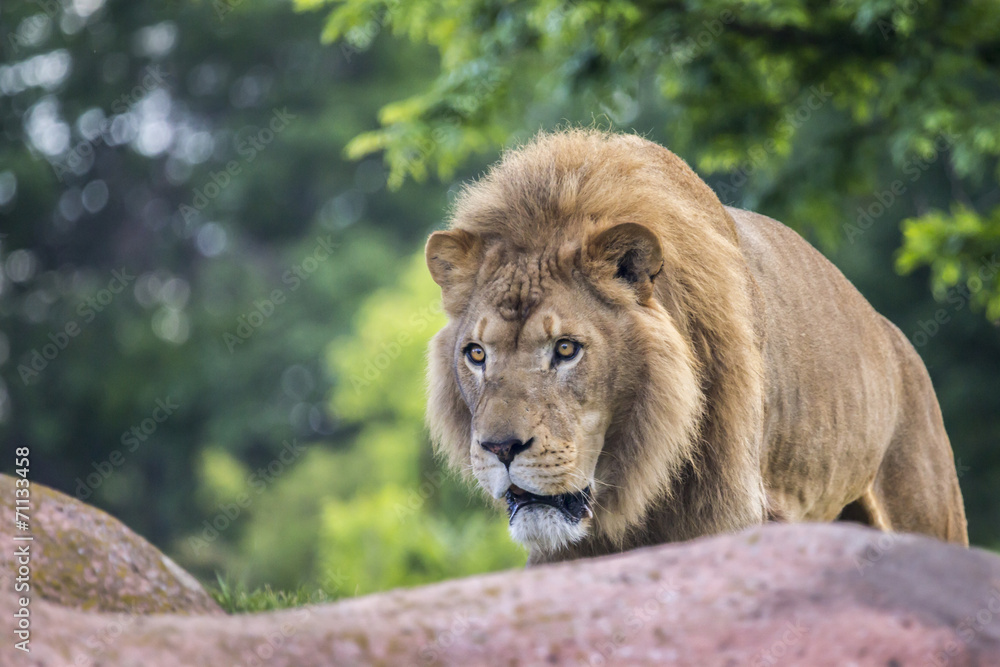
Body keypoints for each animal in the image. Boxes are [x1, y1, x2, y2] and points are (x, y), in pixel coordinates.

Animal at [424, 129, 968, 564]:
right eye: (477, 354)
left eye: (565, 349)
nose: (499, 448)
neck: (635, 473)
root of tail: (894, 338)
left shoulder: (726, 518)